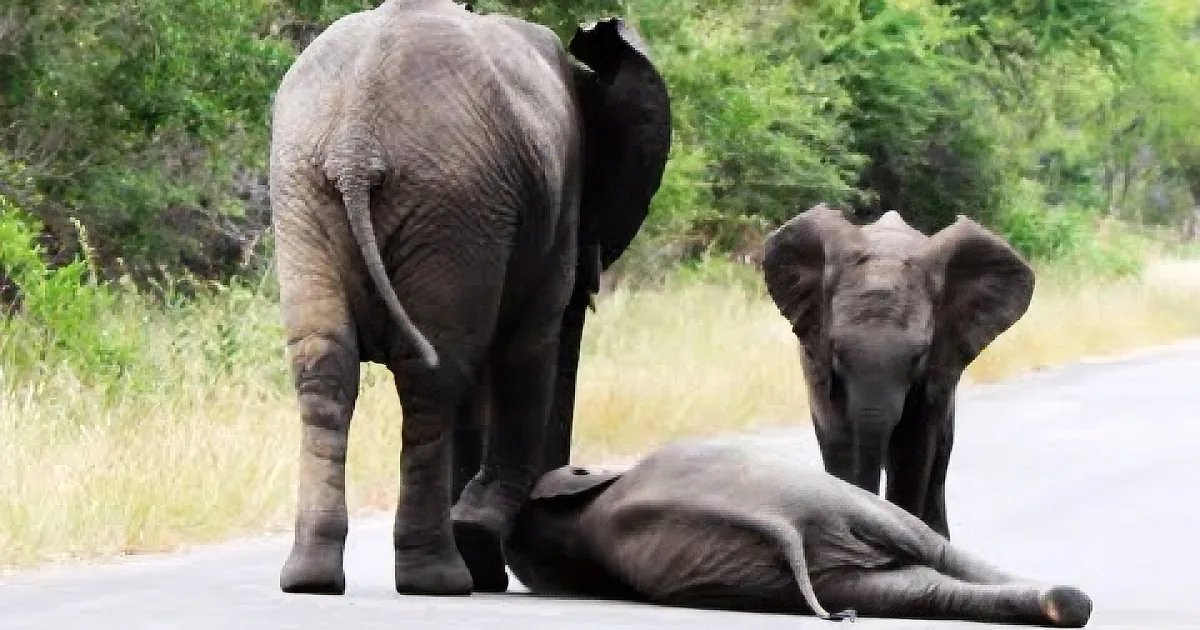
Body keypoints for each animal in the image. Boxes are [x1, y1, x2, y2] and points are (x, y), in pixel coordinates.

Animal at [267, 0, 671, 597]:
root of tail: (356, 145)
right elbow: (530, 352)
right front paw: (481, 548)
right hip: (446, 201)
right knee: (433, 378)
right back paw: (440, 577)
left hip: (312, 193)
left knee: (326, 369)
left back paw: (311, 579)